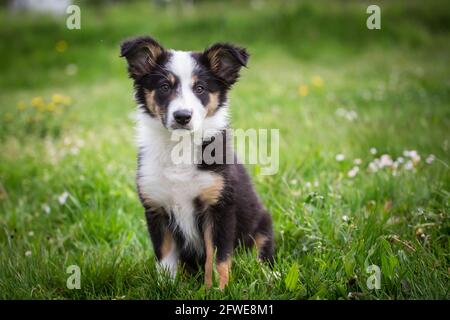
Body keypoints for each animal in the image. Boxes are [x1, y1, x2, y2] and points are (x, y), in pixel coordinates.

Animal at [120, 35, 274, 290]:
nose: (182, 116)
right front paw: (166, 288)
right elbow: (165, 258)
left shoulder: (219, 207)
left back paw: (270, 276)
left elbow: (218, 257)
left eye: (200, 88)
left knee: (263, 256)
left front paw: (217, 290)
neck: (179, 147)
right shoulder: (157, 208)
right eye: (164, 87)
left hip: (262, 224)